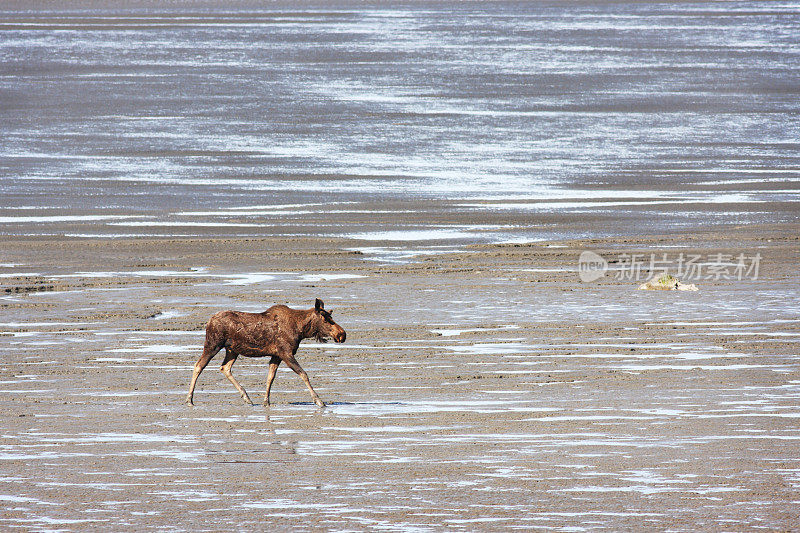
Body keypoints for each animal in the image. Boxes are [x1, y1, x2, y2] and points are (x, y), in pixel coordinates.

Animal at [186, 300, 346, 408]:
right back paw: (189, 399)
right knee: (198, 365)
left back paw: (246, 397)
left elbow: (270, 378)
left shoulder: (276, 355)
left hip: (232, 350)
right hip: (213, 344)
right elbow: (303, 374)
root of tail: (209, 321)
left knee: (225, 368)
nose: (342, 334)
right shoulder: (286, 353)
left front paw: (266, 401)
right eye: (326, 319)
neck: (301, 330)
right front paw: (319, 400)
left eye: (331, 317)